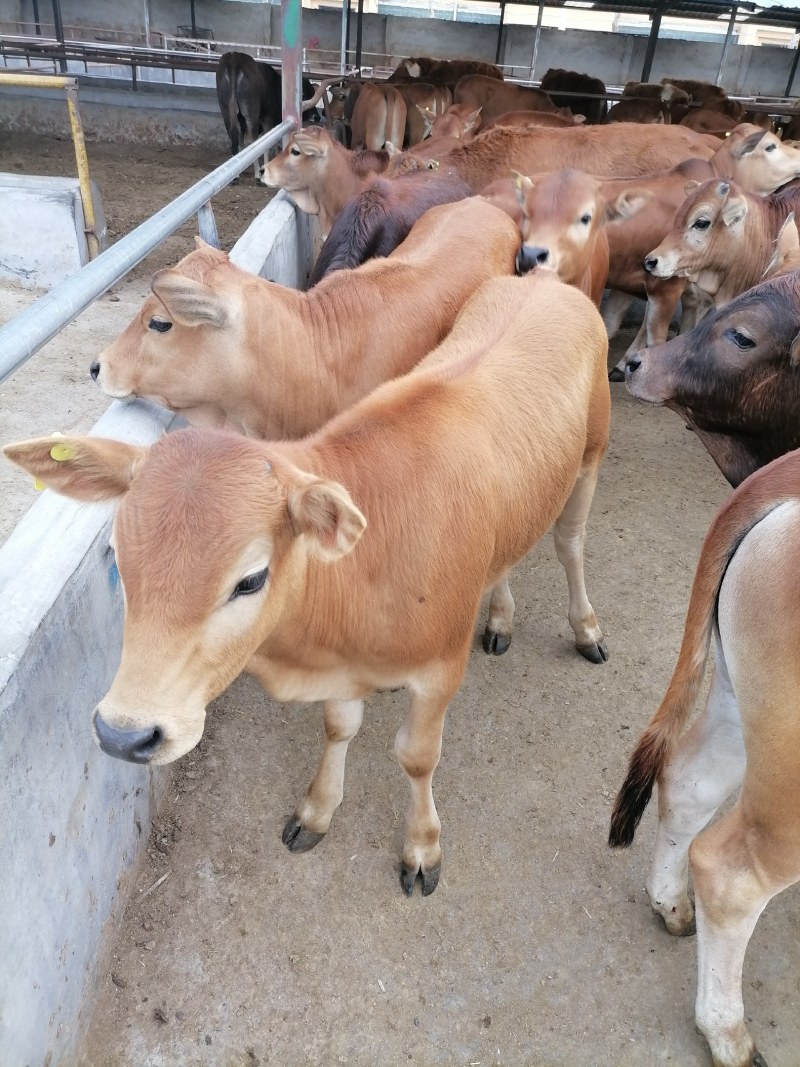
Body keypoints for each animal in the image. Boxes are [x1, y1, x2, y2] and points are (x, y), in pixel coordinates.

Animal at [6, 264, 610, 892]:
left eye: (250, 580)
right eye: (121, 563)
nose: (124, 734)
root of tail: (546, 281)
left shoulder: (440, 671)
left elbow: (417, 757)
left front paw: (422, 846)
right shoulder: (343, 673)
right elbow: (338, 728)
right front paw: (318, 810)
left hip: (590, 456)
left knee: (568, 544)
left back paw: (586, 629)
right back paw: (498, 617)